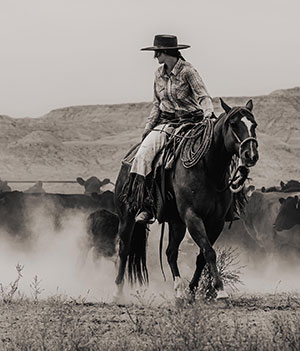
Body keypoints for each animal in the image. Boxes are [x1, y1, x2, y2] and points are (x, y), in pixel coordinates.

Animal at [113, 99, 258, 302]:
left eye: (254, 125)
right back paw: (117, 292)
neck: (209, 169)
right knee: (124, 249)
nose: (250, 155)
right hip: (127, 216)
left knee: (170, 253)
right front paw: (220, 291)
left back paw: (179, 292)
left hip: (176, 222)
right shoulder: (192, 216)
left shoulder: (216, 221)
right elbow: (209, 251)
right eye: (233, 124)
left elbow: (203, 255)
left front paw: (192, 290)